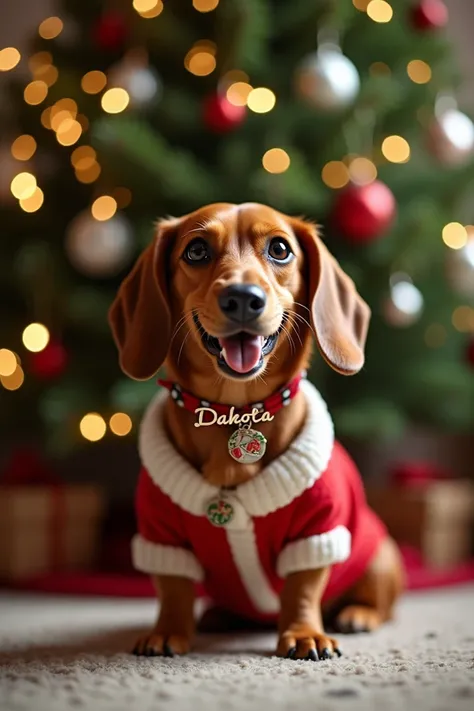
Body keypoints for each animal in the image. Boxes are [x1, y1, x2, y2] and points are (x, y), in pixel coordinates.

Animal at [108, 202, 404, 660]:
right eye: (196, 251)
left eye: (280, 249)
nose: (244, 298)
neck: (233, 410)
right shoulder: (160, 532)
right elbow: (173, 588)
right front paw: (167, 631)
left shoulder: (317, 528)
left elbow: (303, 587)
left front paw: (304, 633)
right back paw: (219, 615)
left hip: (381, 555)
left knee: (378, 602)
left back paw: (358, 614)